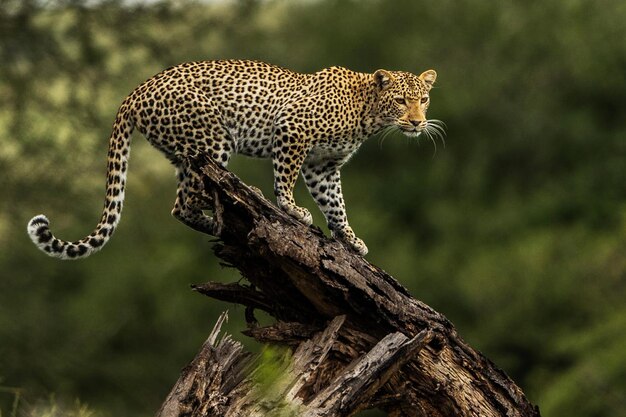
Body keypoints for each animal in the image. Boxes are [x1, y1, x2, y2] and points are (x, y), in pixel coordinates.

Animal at [26, 59, 442, 258]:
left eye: (423, 99)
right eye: (401, 100)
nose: (417, 122)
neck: (368, 114)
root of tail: (135, 91)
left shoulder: (322, 167)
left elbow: (336, 204)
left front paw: (351, 240)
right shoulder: (292, 131)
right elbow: (285, 179)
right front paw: (292, 210)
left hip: (188, 153)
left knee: (181, 203)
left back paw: (220, 221)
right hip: (214, 138)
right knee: (190, 199)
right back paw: (236, 206)